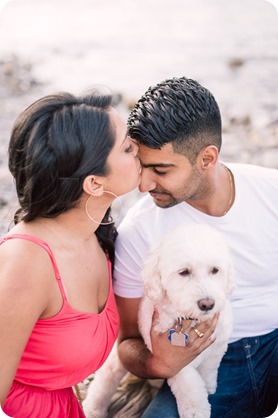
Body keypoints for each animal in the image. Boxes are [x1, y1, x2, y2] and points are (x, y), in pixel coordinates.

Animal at [83, 224, 236, 416]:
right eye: (183, 272)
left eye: (215, 270)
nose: (207, 304)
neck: (191, 318)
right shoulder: (174, 360)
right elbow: (190, 386)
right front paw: (195, 410)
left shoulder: (217, 348)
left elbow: (209, 369)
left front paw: (209, 386)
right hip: (117, 358)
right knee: (106, 379)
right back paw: (93, 408)